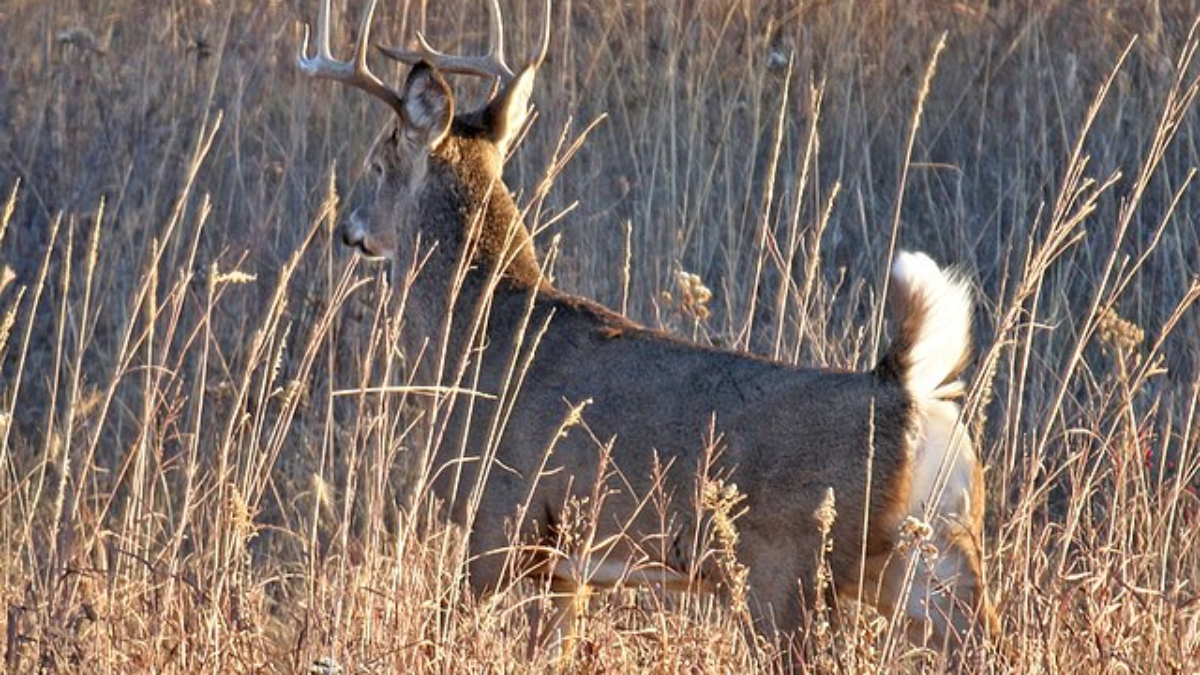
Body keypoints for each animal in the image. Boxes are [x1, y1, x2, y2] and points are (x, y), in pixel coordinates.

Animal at [297, 0, 993, 662]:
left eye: (379, 161)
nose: (350, 228)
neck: (477, 339)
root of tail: (906, 390)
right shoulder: (570, 568)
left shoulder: (496, 522)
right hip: (939, 558)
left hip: (784, 567)